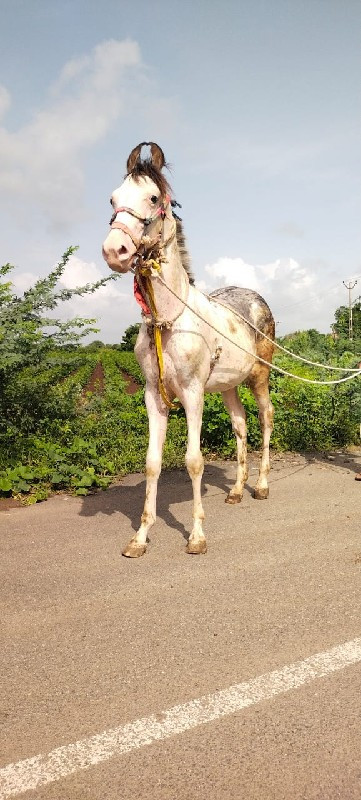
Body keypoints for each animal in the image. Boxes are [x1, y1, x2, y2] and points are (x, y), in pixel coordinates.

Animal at [101, 142, 272, 556]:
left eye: (153, 197)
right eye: (113, 198)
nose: (115, 250)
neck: (168, 322)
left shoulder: (193, 393)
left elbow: (194, 460)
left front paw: (196, 535)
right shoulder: (153, 395)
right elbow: (152, 462)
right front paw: (140, 537)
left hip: (260, 376)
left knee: (265, 419)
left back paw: (261, 485)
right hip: (229, 386)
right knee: (241, 426)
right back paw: (237, 490)